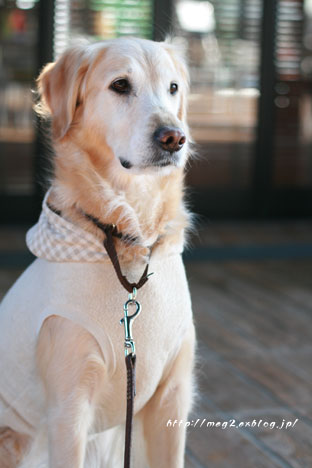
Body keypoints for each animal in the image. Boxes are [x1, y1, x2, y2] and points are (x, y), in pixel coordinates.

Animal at [0, 37, 195, 468]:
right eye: (120, 85)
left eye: (173, 87)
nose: (174, 137)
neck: (132, 241)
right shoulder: (69, 408)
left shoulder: (172, 397)